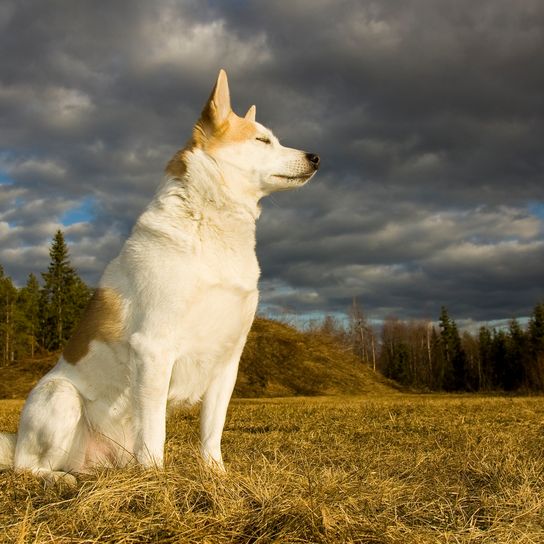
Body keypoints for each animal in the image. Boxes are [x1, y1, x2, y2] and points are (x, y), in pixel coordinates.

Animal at [0, 70, 318, 482]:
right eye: (261, 140)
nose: (316, 157)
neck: (210, 229)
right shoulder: (153, 349)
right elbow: (154, 433)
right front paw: (156, 480)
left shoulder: (227, 361)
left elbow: (211, 432)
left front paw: (216, 477)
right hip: (61, 397)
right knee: (26, 467)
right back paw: (61, 478)